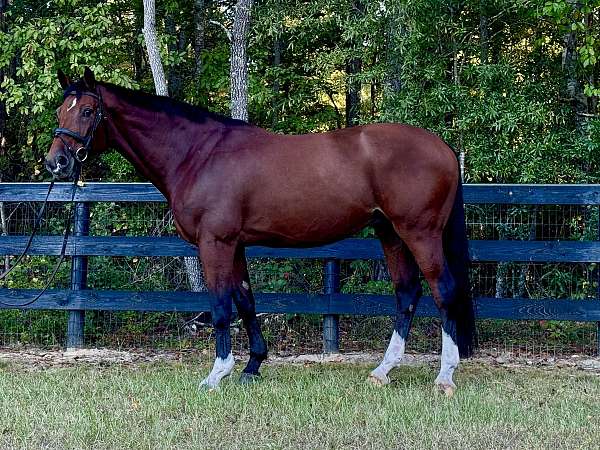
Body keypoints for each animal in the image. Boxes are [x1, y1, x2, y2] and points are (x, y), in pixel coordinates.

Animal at [44, 67, 476, 394]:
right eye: (61, 110)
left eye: (87, 111)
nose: (56, 162)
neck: (197, 154)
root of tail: (442, 147)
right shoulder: (234, 244)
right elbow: (245, 301)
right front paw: (252, 366)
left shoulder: (214, 243)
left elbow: (221, 305)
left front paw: (216, 374)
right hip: (390, 234)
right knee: (407, 293)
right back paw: (383, 371)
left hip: (419, 233)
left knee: (443, 291)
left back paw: (444, 376)